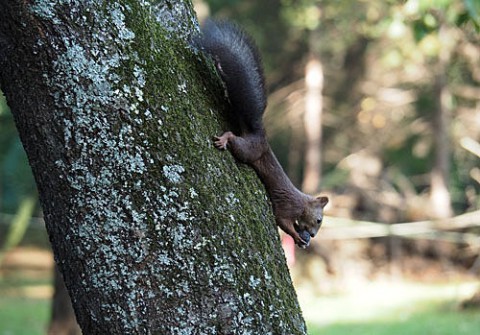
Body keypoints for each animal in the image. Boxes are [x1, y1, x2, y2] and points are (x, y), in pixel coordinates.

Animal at [197, 19, 328, 248]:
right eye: (319, 220)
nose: (311, 236)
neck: (302, 203)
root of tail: (259, 136)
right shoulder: (288, 207)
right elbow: (282, 220)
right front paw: (296, 237)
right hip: (249, 150)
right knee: (234, 138)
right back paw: (224, 140)